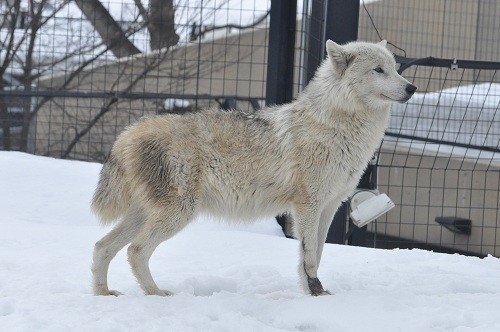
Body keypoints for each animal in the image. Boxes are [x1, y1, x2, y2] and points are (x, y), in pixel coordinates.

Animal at [92, 39, 416, 296]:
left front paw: (315, 291)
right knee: (135, 250)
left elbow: (319, 252)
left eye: (395, 68)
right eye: (378, 70)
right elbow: (309, 256)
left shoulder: (329, 206)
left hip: (147, 214)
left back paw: (104, 294)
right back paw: (156, 294)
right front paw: (315, 294)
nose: (412, 88)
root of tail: (128, 133)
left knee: (102, 246)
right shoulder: (307, 206)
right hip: (178, 213)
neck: (336, 126)